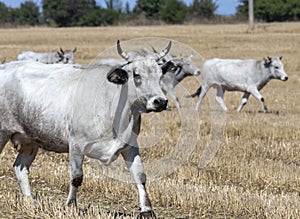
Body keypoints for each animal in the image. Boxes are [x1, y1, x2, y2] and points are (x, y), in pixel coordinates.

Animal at [0, 40, 171, 216]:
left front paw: (147, 210)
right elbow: (76, 177)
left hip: (29, 141)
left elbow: (140, 175)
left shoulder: (130, 145)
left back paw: (31, 203)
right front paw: (71, 205)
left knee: (21, 168)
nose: (160, 101)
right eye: (137, 75)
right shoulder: (76, 144)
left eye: (160, 75)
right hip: (3, 133)